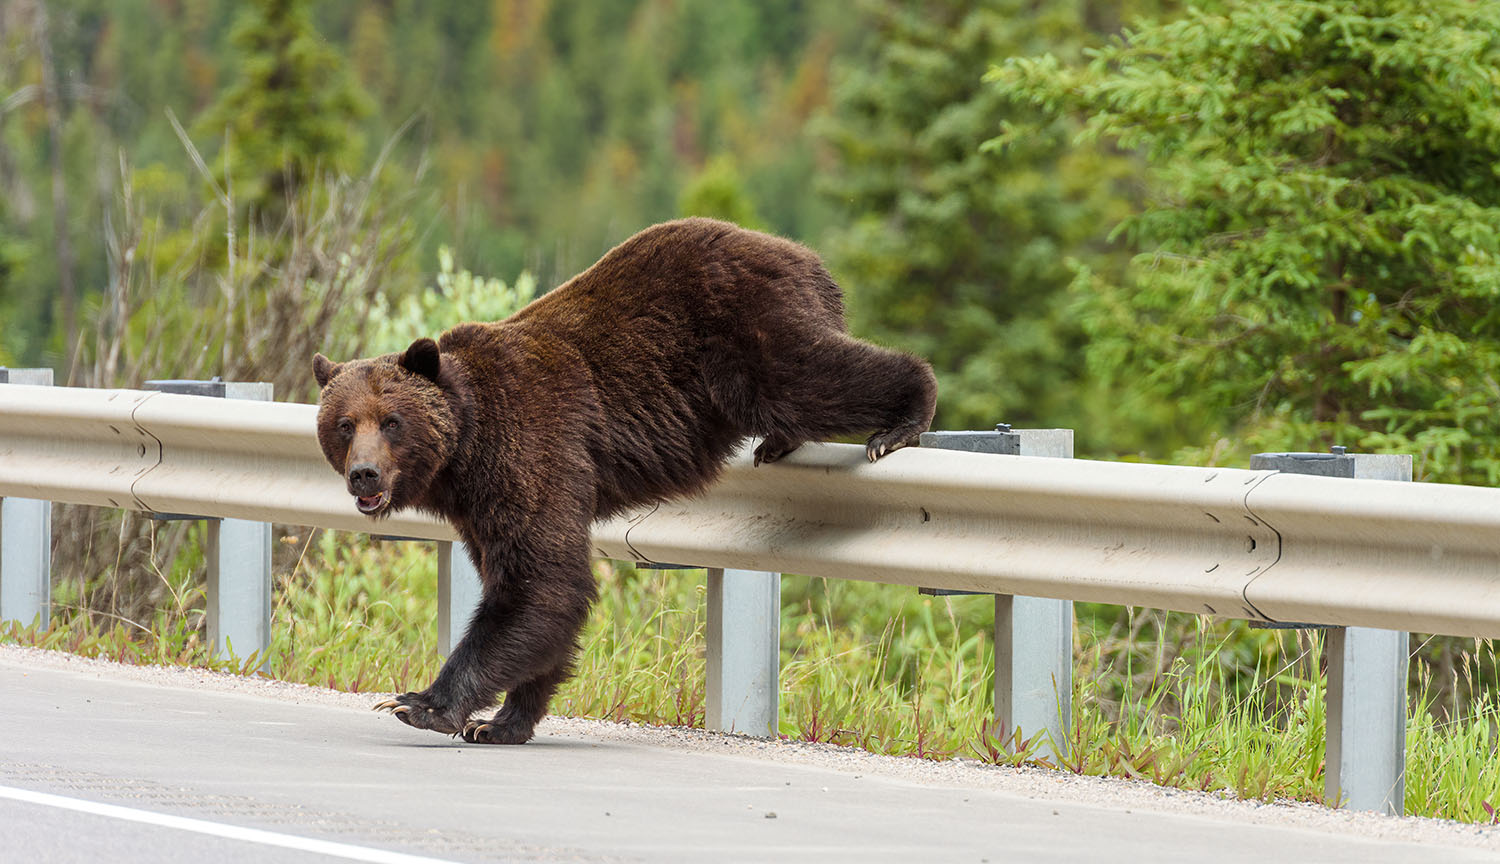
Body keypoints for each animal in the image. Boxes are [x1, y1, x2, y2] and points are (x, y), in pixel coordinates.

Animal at [312, 218, 936, 744]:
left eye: (391, 421)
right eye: (343, 424)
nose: (363, 474)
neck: (465, 449)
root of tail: (802, 254)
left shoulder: (533, 449)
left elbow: (542, 582)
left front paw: (421, 703)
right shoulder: (480, 504)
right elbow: (529, 593)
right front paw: (503, 721)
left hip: (745, 327)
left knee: (808, 375)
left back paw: (902, 418)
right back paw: (782, 442)